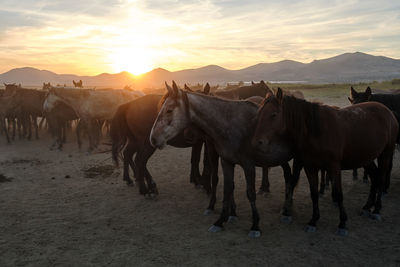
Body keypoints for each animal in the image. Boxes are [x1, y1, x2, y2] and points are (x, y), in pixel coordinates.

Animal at [150, 81, 294, 239]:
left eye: (169, 110)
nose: (153, 138)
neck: (230, 124)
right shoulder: (226, 162)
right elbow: (227, 188)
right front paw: (221, 220)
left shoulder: (248, 165)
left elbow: (250, 193)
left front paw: (255, 225)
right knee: (288, 175)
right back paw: (286, 209)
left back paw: (285, 209)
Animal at [253, 89, 396, 236]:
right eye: (259, 113)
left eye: (273, 115)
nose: (257, 142)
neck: (317, 132)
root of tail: (386, 110)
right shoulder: (310, 167)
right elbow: (314, 193)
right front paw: (313, 220)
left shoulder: (334, 167)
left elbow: (338, 194)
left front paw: (342, 223)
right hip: (366, 159)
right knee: (375, 178)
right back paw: (367, 207)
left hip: (386, 153)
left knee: (381, 179)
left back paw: (377, 210)